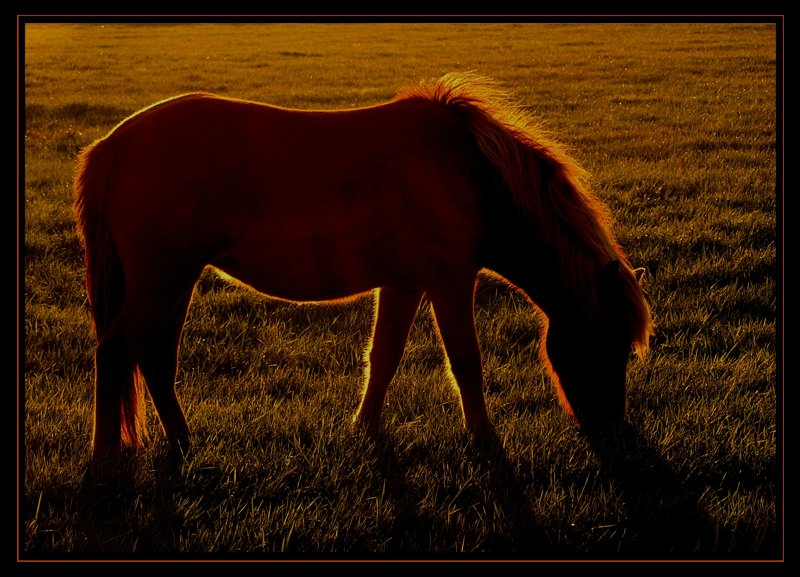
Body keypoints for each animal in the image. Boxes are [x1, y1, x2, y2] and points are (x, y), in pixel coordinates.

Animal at [73, 73, 648, 460]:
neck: (471, 172)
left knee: (156, 361)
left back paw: (183, 444)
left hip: (176, 282)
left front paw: (365, 428)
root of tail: (115, 145)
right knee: (116, 354)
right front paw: (484, 440)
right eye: (607, 340)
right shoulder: (449, 280)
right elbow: (466, 362)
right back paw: (103, 462)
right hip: (160, 282)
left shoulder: (405, 282)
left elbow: (385, 356)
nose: (614, 431)